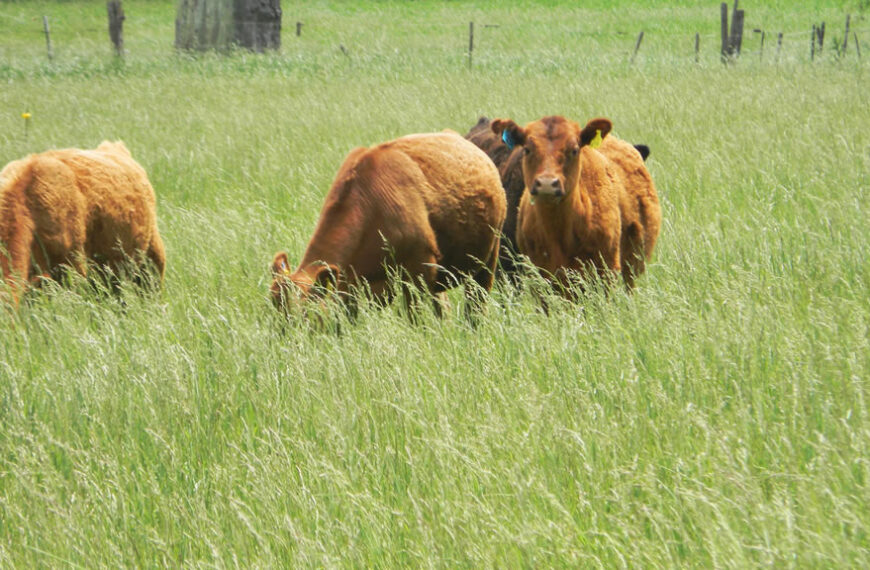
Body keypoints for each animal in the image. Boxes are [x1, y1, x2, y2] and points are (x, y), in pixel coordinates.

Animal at [270, 130, 508, 316]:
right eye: (274, 313)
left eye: (305, 314)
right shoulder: (352, 287)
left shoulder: (418, 272)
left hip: (487, 260)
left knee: (475, 305)